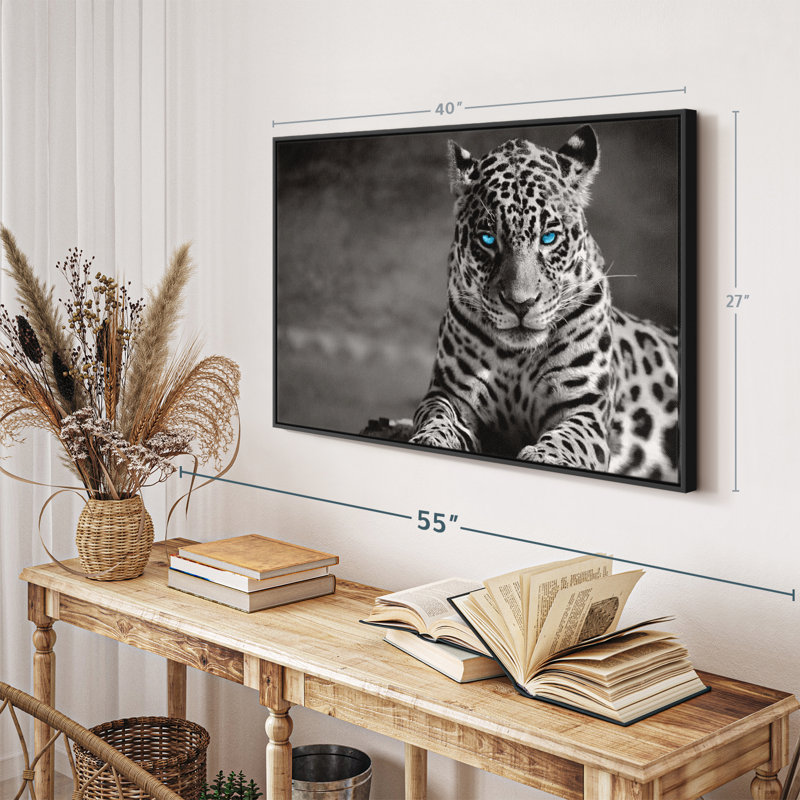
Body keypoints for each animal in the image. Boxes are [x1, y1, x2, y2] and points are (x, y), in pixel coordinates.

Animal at [408, 126, 680, 483]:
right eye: (488, 239)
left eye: (549, 238)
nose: (520, 304)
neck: (516, 358)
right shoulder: (448, 393)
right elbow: (436, 416)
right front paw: (430, 438)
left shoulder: (584, 408)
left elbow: (568, 439)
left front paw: (545, 455)